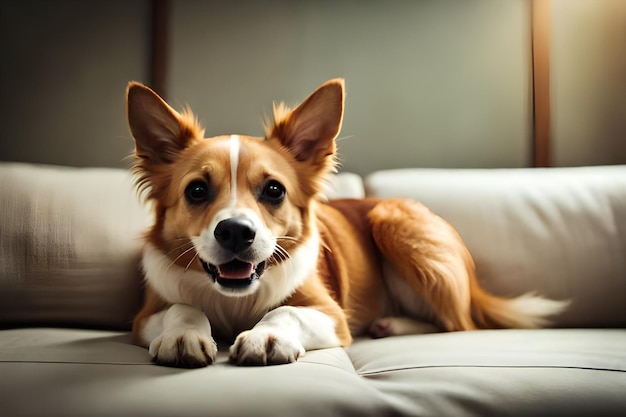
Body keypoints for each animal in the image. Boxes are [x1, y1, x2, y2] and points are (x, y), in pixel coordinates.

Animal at [127, 78, 564, 368]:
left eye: (273, 190)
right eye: (197, 190)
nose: (235, 231)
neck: (234, 301)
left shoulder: (330, 314)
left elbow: (286, 312)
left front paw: (266, 335)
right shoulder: (145, 317)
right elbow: (182, 306)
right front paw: (183, 334)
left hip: (397, 227)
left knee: (461, 325)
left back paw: (393, 325)